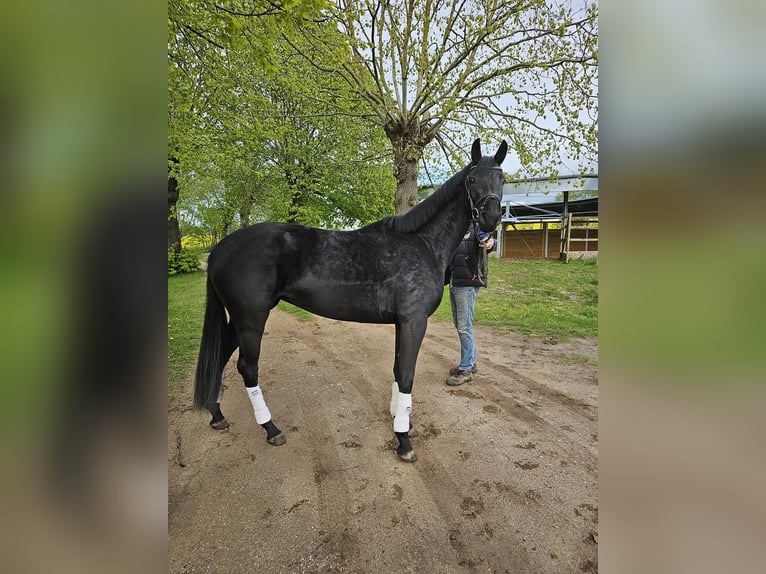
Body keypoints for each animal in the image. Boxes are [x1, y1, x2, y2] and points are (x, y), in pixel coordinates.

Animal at [196, 138, 510, 464]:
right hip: (251, 319)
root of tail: (220, 249)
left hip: (240, 320)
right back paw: (271, 429)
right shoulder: (414, 321)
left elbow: (397, 370)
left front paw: (402, 423)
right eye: (472, 180)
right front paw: (403, 441)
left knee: (220, 357)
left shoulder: (402, 323)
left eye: (502, 180)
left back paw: (217, 416)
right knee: (247, 368)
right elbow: (407, 375)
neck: (421, 244)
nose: (490, 218)